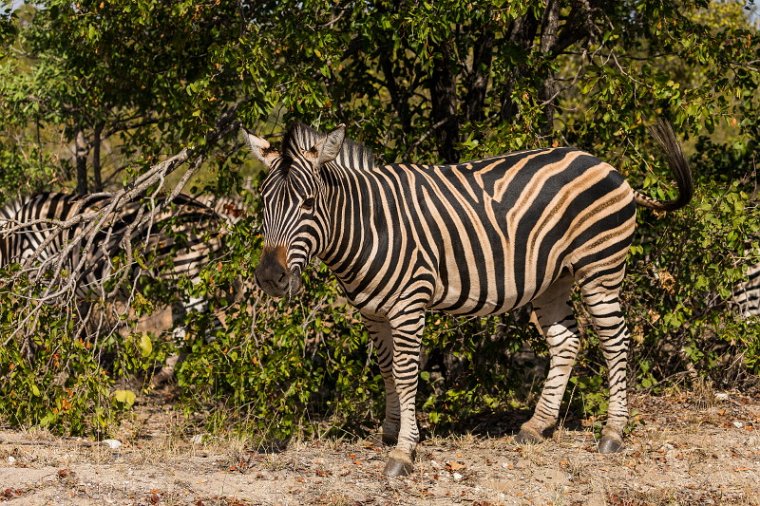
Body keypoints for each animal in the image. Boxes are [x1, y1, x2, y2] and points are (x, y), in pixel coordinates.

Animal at [243, 120, 696, 476]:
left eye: (308, 203)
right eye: (263, 202)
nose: (269, 278)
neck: (368, 227)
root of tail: (605, 165)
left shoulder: (409, 303)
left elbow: (406, 373)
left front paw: (404, 451)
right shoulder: (371, 311)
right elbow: (387, 369)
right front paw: (389, 431)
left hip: (599, 269)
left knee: (615, 341)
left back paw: (613, 432)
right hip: (555, 278)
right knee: (567, 342)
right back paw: (536, 426)